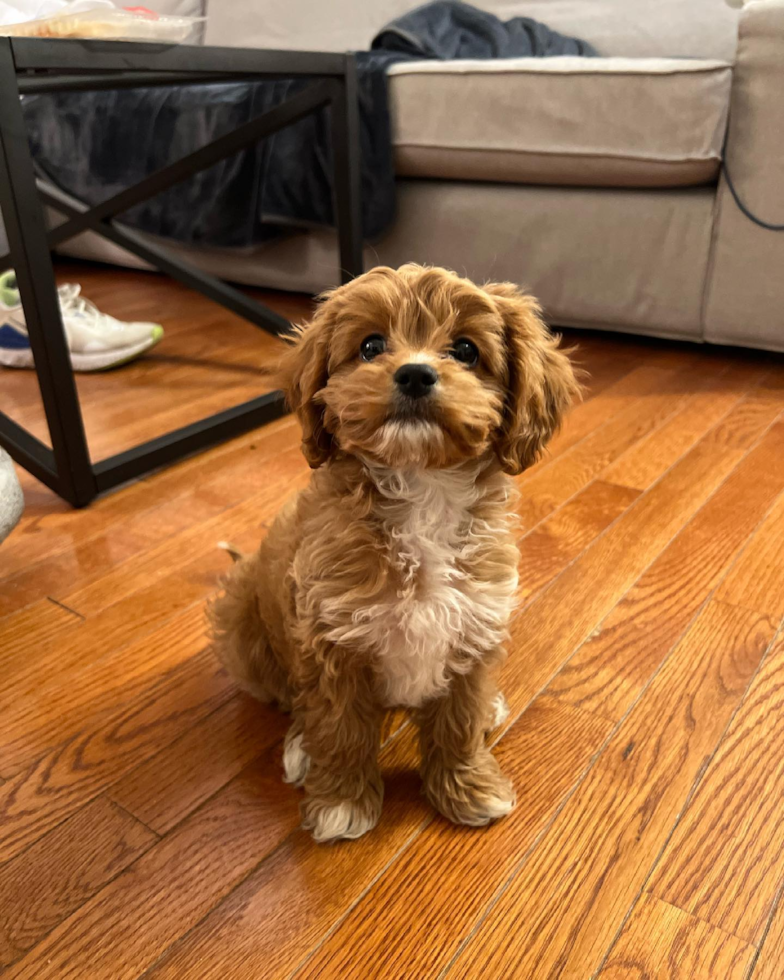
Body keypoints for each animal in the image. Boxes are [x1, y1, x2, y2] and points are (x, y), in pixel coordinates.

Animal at [211, 262, 580, 844]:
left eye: (466, 350)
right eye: (370, 346)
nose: (414, 374)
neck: (421, 488)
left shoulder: (473, 620)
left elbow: (458, 719)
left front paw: (467, 787)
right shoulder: (333, 637)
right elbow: (339, 726)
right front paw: (341, 801)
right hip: (243, 623)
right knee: (293, 698)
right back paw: (301, 748)